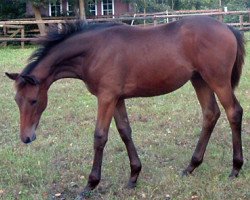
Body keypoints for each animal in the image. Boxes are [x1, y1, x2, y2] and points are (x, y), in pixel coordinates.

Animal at [6, 16, 246, 198]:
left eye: (33, 100)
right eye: (16, 100)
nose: (26, 137)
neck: (93, 50)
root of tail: (228, 27)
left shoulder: (106, 97)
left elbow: (100, 137)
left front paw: (90, 184)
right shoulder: (117, 98)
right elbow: (125, 131)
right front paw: (133, 176)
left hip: (217, 80)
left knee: (233, 112)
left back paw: (235, 168)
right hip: (199, 80)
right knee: (210, 114)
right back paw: (191, 166)